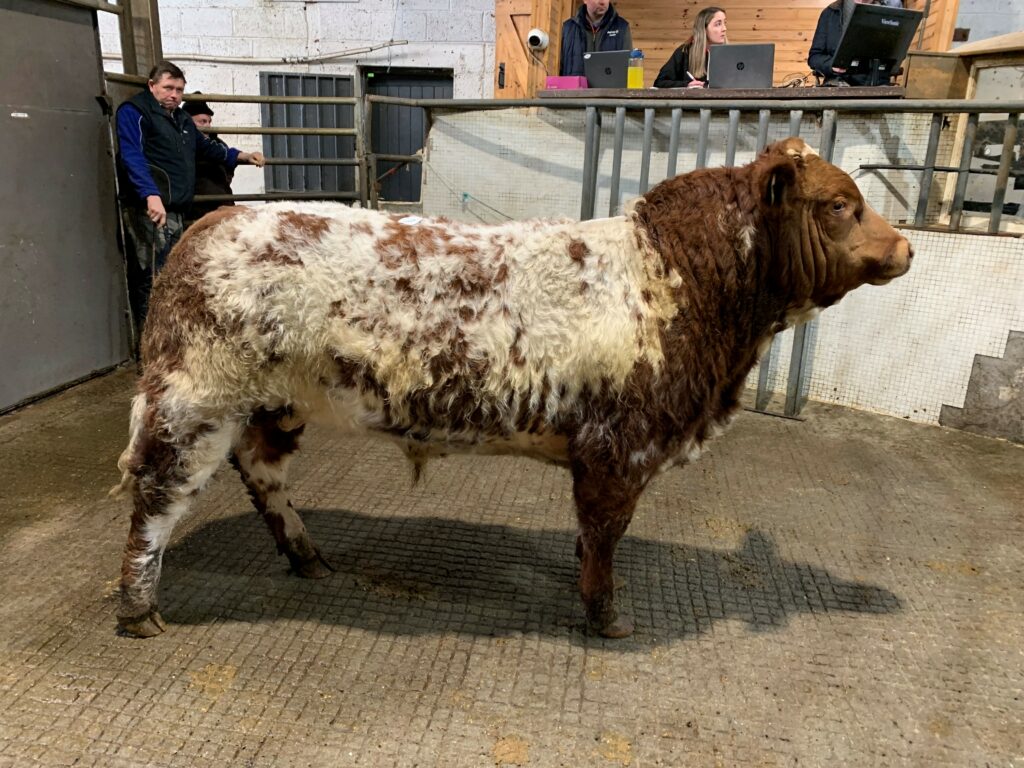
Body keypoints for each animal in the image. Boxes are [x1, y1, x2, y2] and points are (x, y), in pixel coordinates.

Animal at [110, 137, 912, 639]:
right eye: (839, 205)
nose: (906, 245)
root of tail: (208, 224)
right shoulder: (619, 448)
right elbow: (606, 534)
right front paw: (607, 617)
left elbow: (594, 536)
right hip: (195, 398)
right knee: (155, 496)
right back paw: (139, 610)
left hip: (272, 402)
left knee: (263, 474)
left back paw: (308, 557)